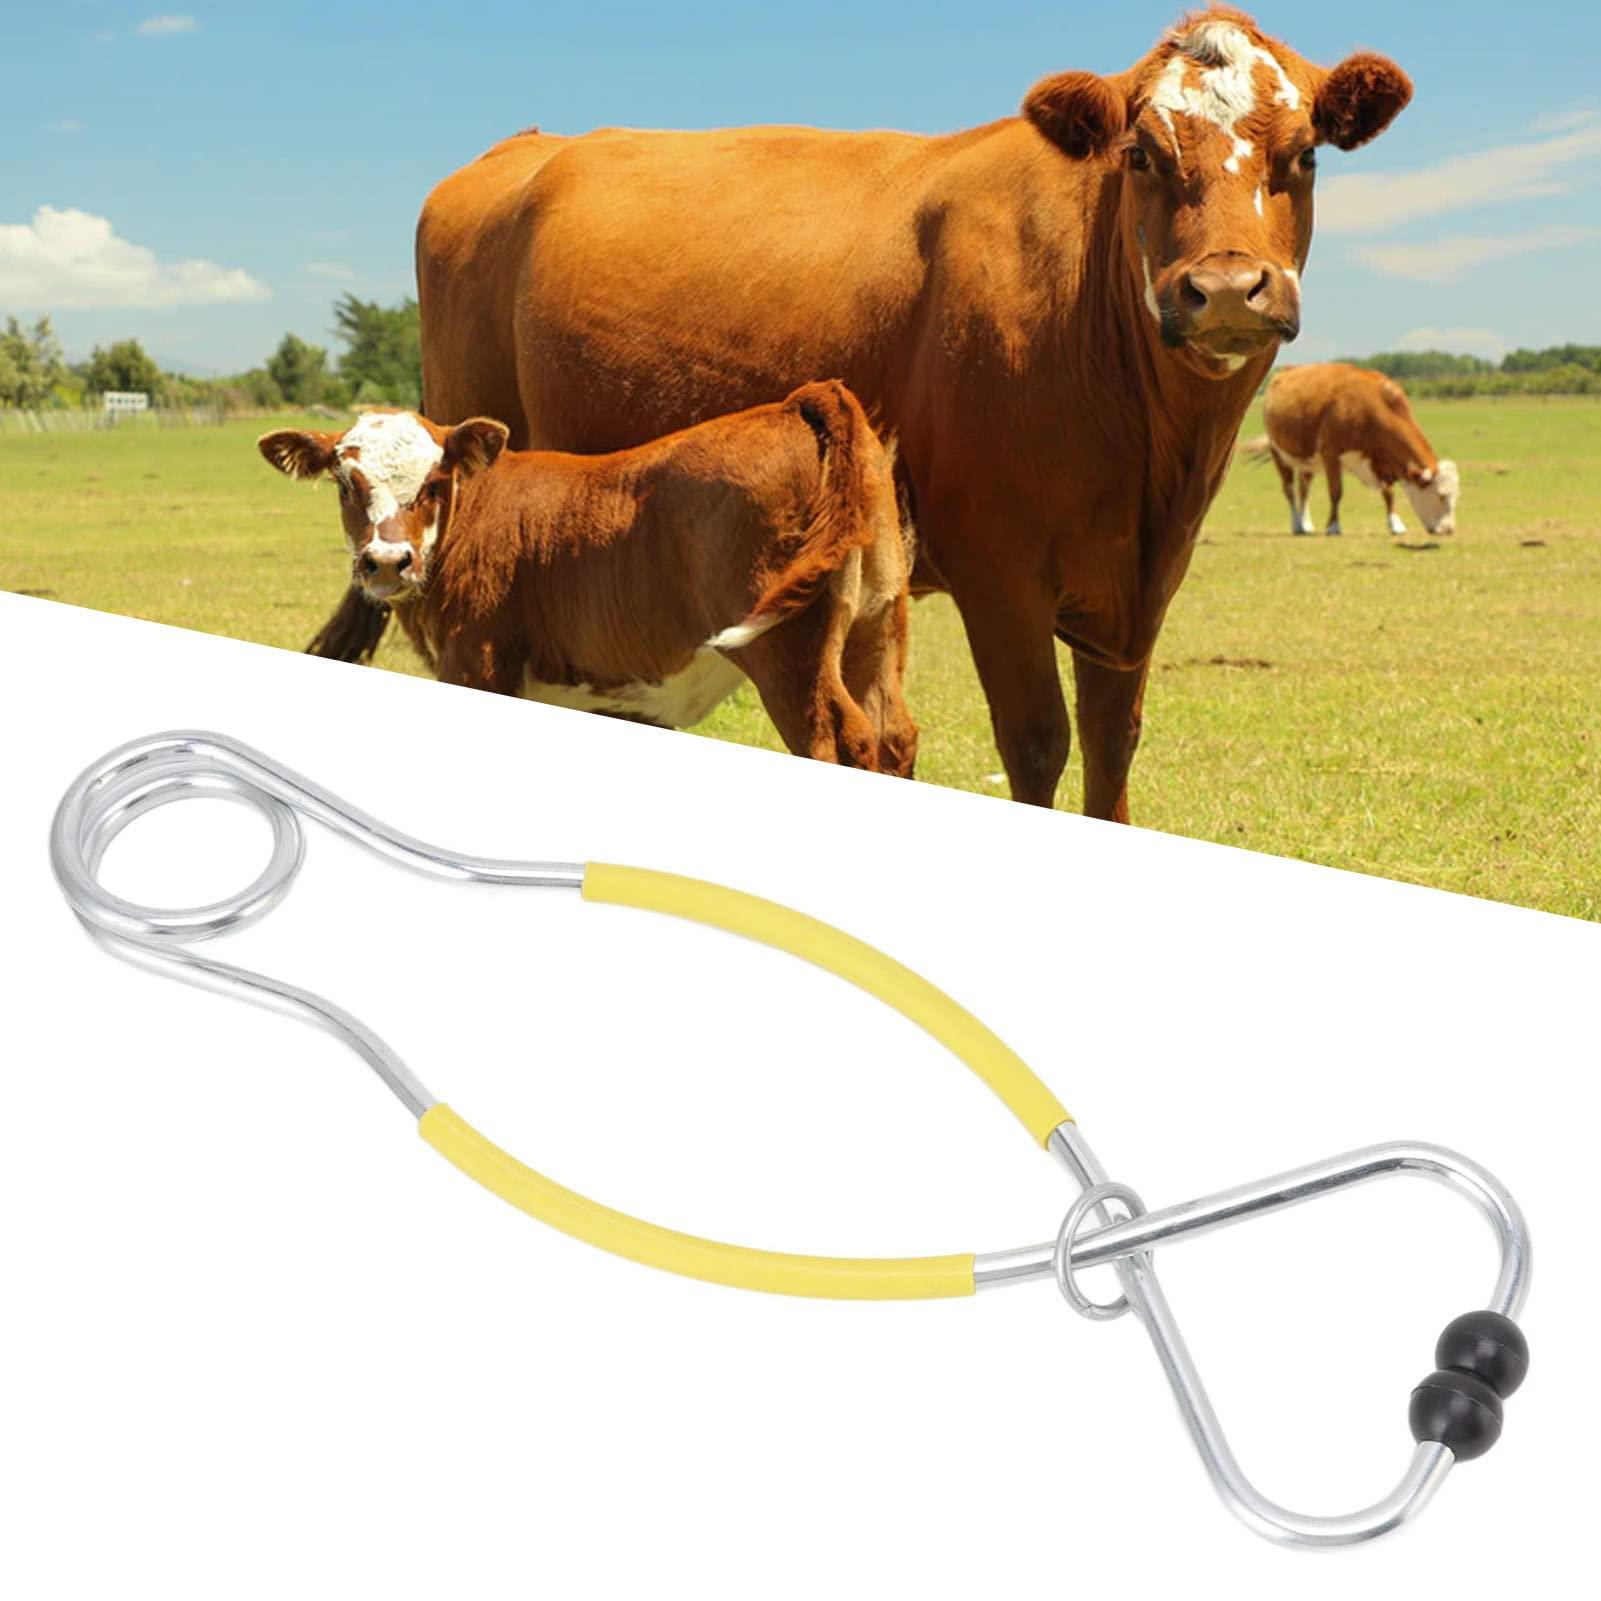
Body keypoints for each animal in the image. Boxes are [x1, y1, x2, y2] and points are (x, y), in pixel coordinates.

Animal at [266, 383, 917, 773]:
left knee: (837, 741)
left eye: (433, 483)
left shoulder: (477, 662)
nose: (386, 561)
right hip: (874, 626)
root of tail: (799, 401)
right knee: (894, 736)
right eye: (346, 484)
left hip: (789, 654)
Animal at [1256, 362, 1460, 536]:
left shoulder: (1382, 460)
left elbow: (1389, 493)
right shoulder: (1331, 454)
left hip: (1307, 459)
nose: (1448, 530)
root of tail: (1286, 371)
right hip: (1278, 453)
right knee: (1289, 489)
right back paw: (1297, 524)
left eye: (1455, 496)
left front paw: (1395, 524)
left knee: (1304, 487)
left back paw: (1306, 524)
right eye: (1441, 496)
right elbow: (1336, 492)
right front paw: (1333, 526)